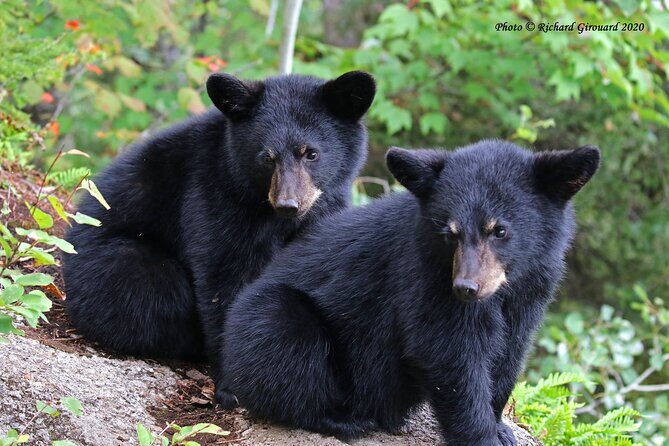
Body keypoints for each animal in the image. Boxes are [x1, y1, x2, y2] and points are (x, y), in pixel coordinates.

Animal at [62, 71, 376, 391]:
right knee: (148, 286)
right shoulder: (212, 195)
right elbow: (224, 275)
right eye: (267, 157)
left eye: (311, 154)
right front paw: (231, 382)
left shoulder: (325, 210)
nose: (289, 204)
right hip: (110, 266)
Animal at [219, 140, 600, 444]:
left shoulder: (532, 289)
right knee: (285, 339)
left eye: (500, 230)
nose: (466, 288)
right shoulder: (426, 277)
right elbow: (447, 353)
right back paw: (342, 420)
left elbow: (511, 351)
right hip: (268, 319)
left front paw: (500, 426)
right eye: (450, 233)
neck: (504, 287)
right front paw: (482, 435)